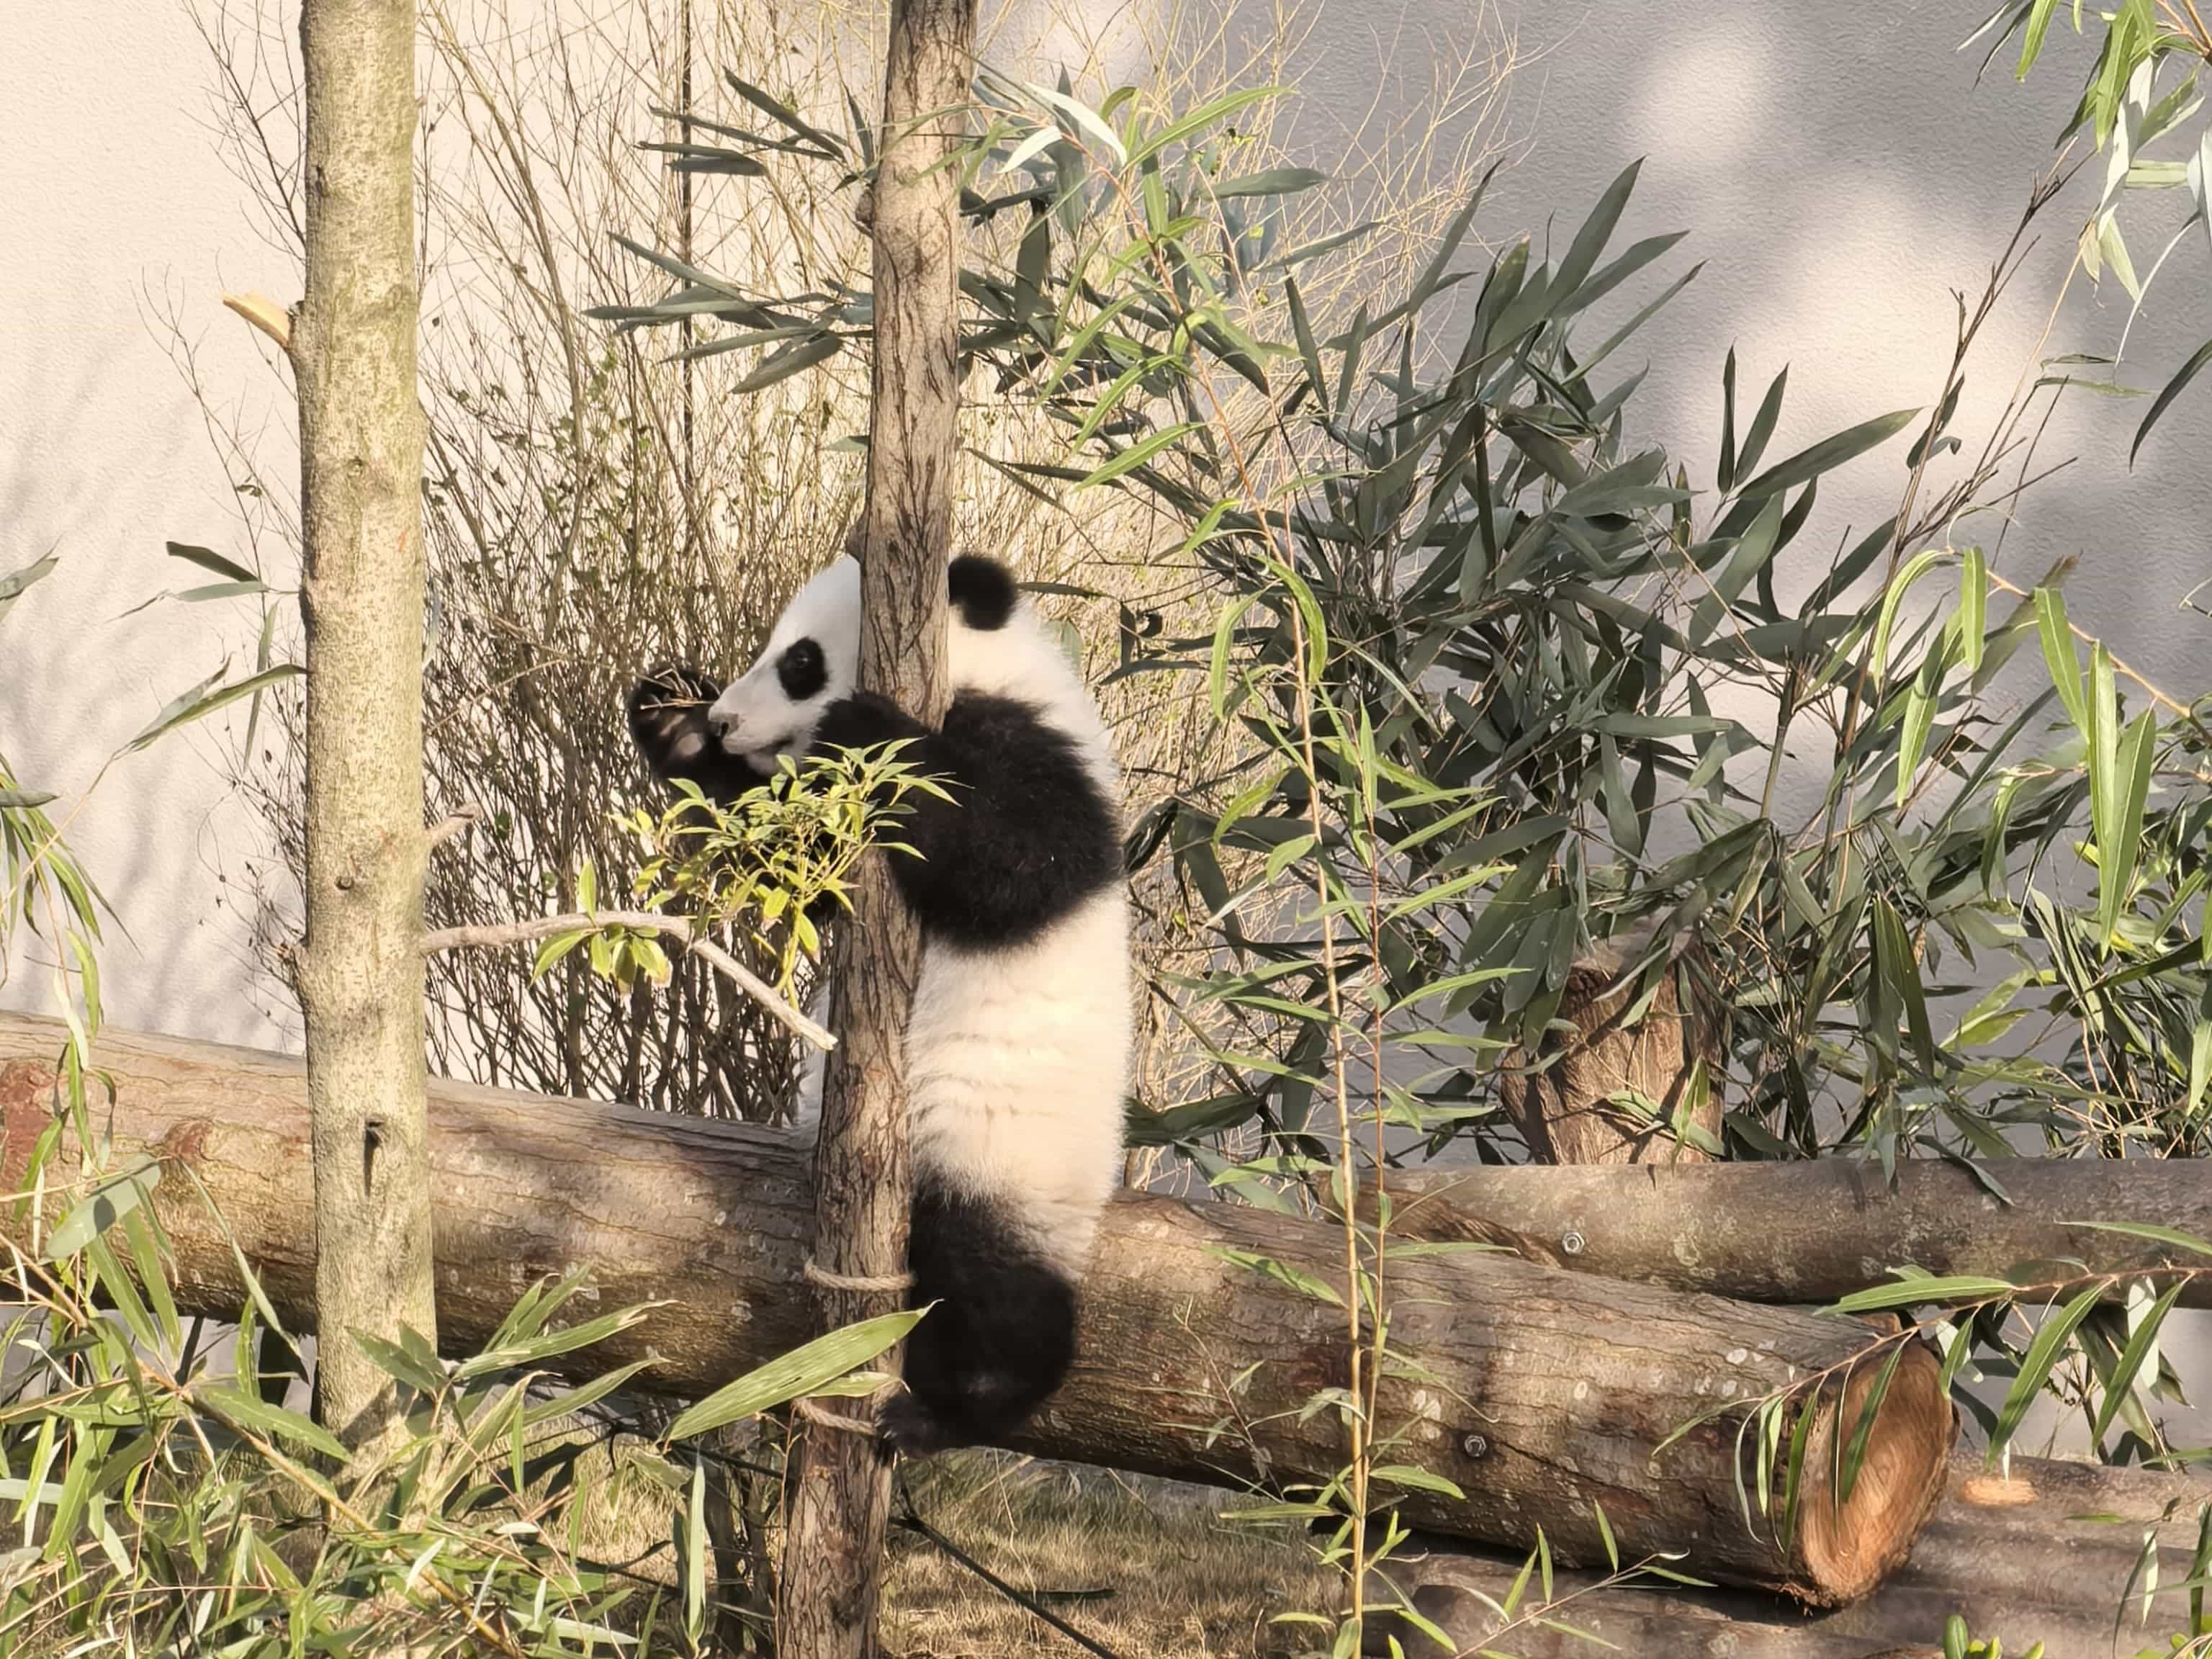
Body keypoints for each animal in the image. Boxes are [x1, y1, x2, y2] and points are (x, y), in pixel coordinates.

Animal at [625, 552, 1131, 1456]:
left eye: (801, 663)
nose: (724, 722)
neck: (990, 671)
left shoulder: (1041, 757)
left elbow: (1014, 867)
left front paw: (870, 731)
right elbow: (803, 869)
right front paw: (672, 716)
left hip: (1000, 1151)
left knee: (989, 1283)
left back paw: (954, 1410)